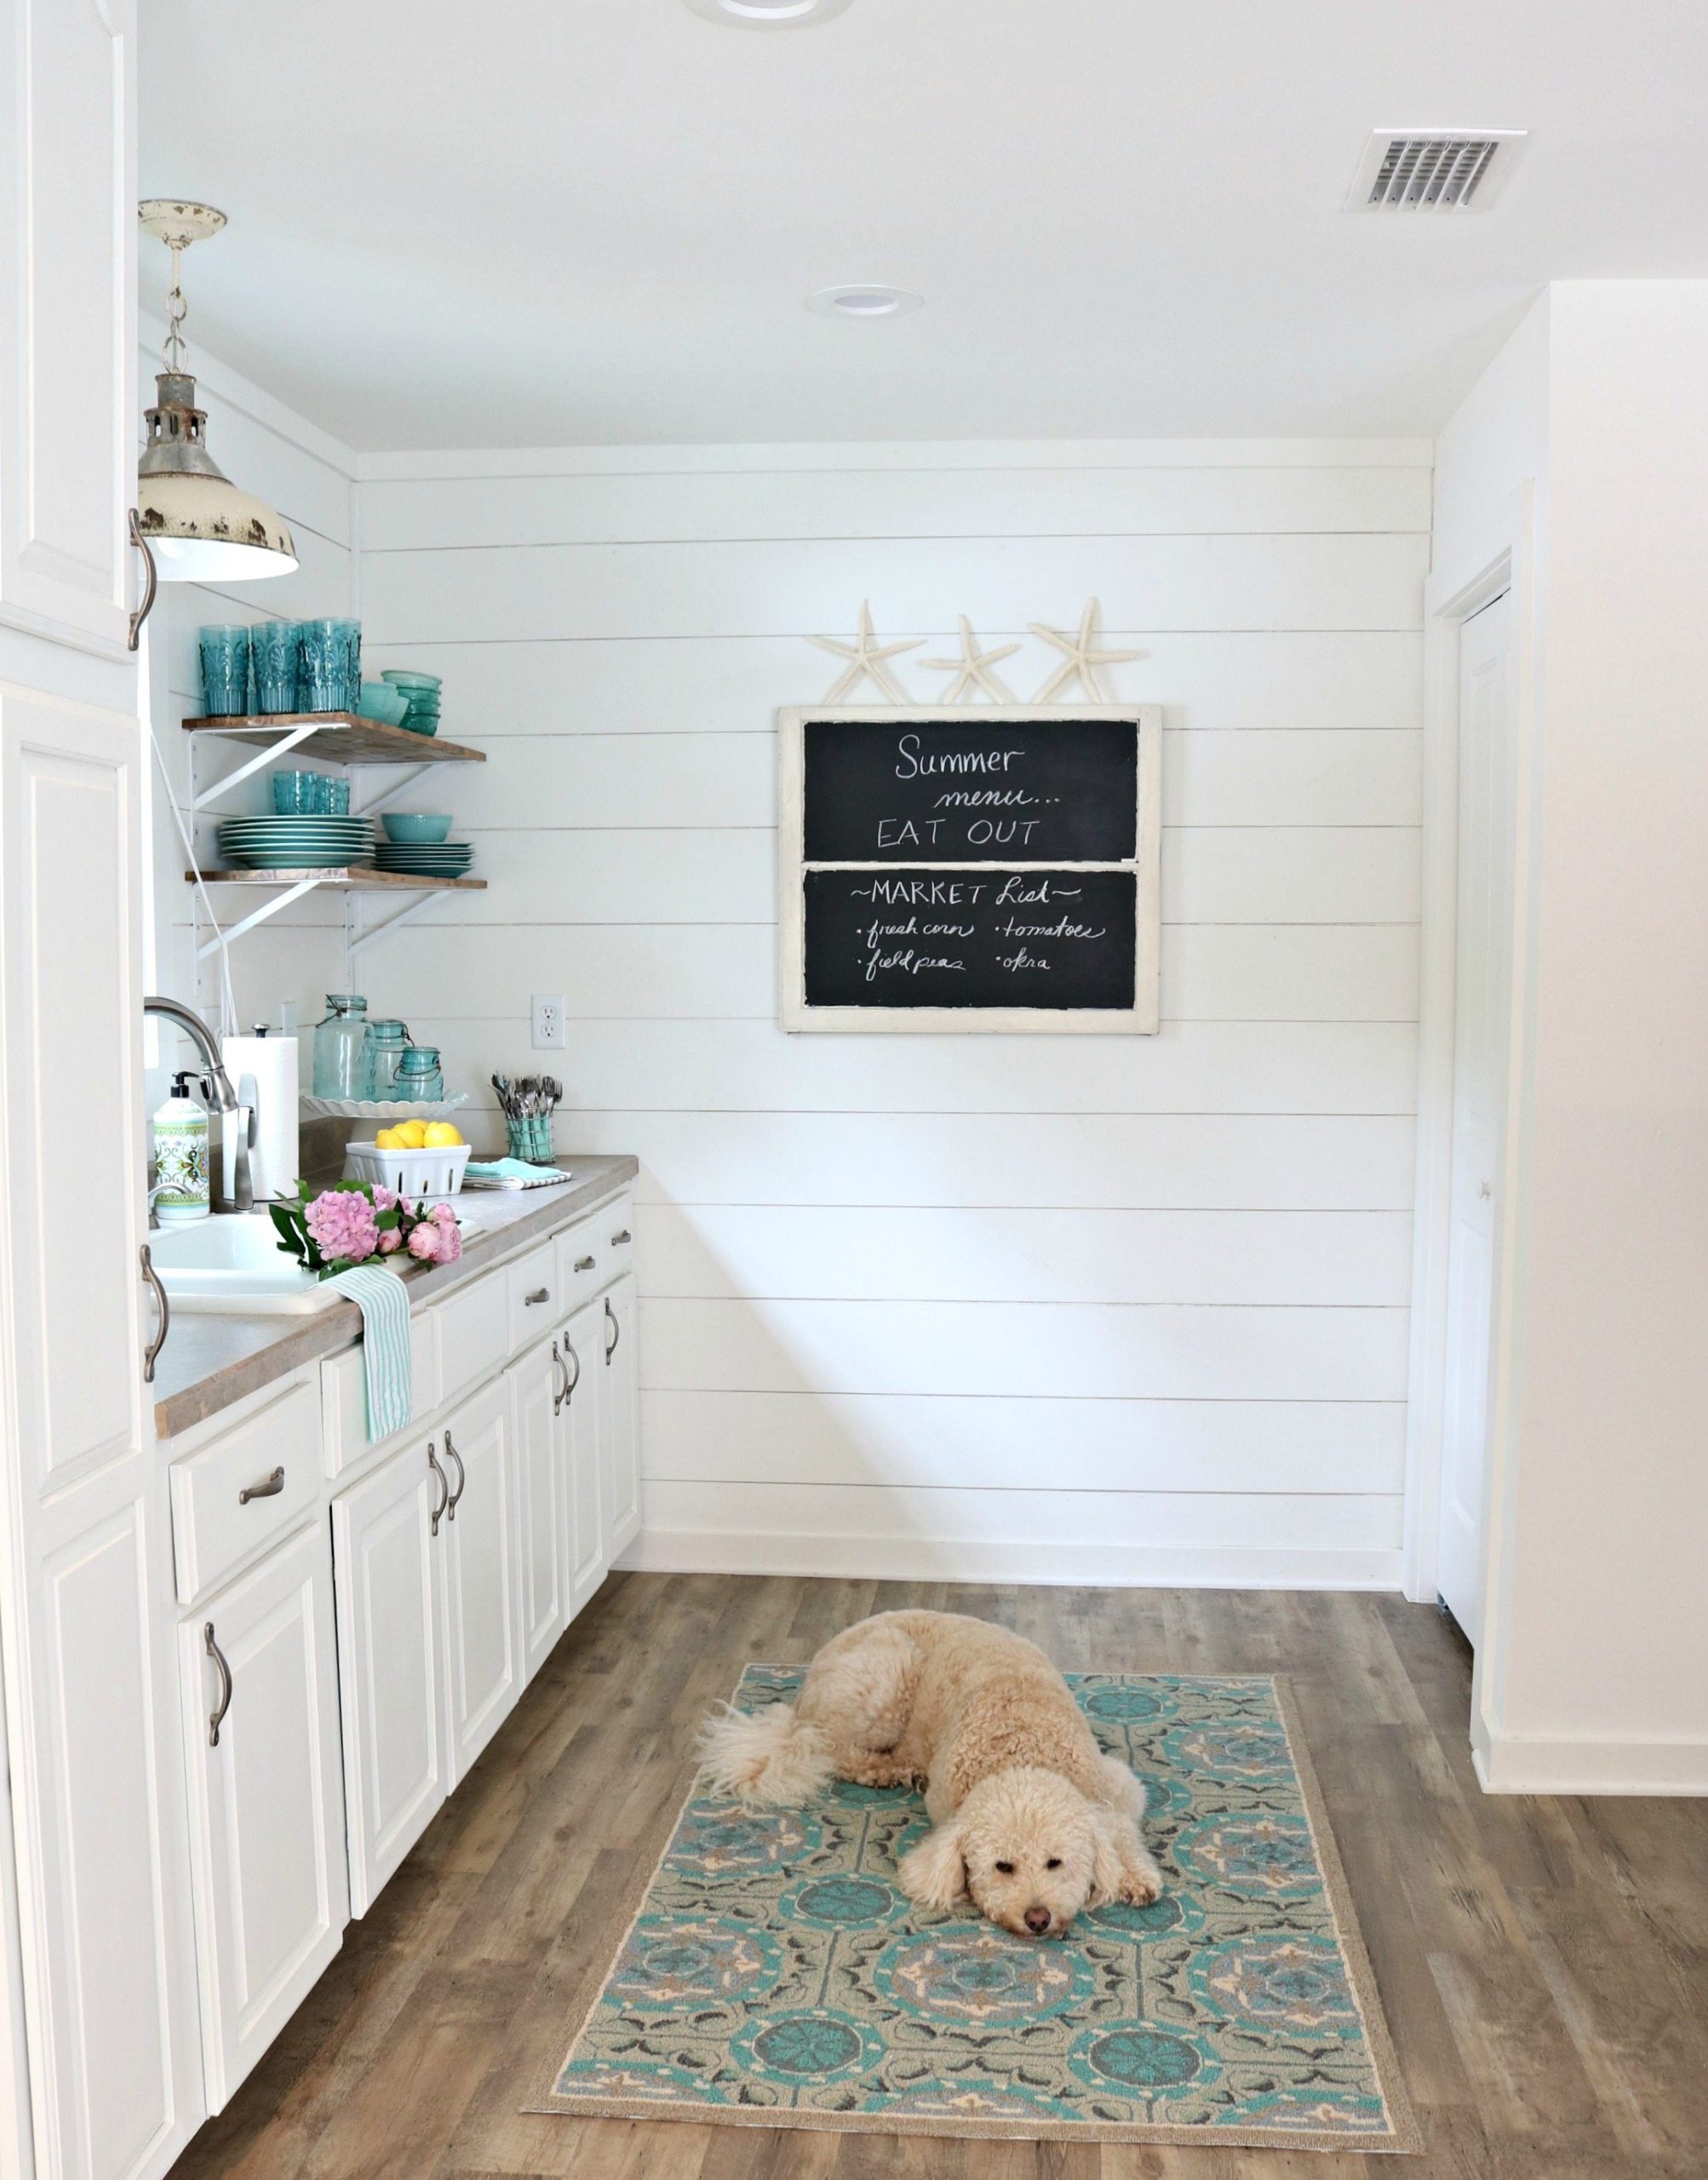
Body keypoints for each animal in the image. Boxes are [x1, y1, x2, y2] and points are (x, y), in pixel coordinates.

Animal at [692, 1604, 1159, 1944]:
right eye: (1003, 1867)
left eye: (1055, 1863)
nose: (1037, 1918)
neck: (1022, 1752)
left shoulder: (1115, 1784)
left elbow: (1120, 1827)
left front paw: (1135, 1874)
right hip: (885, 1678)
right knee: (835, 1749)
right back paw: (884, 1770)